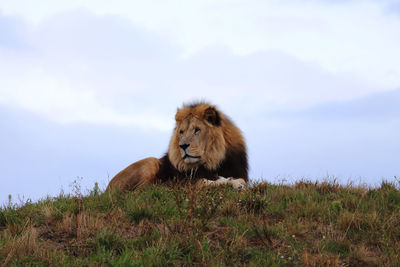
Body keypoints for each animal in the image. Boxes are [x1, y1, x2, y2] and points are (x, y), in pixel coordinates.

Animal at [108, 102, 248, 193]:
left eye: (197, 130)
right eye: (181, 132)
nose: (183, 146)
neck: (212, 162)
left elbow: (238, 179)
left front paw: (237, 183)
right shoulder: (189, 183)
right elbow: (208, 181)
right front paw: (232, 183)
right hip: (150, 162)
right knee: (140, 191)